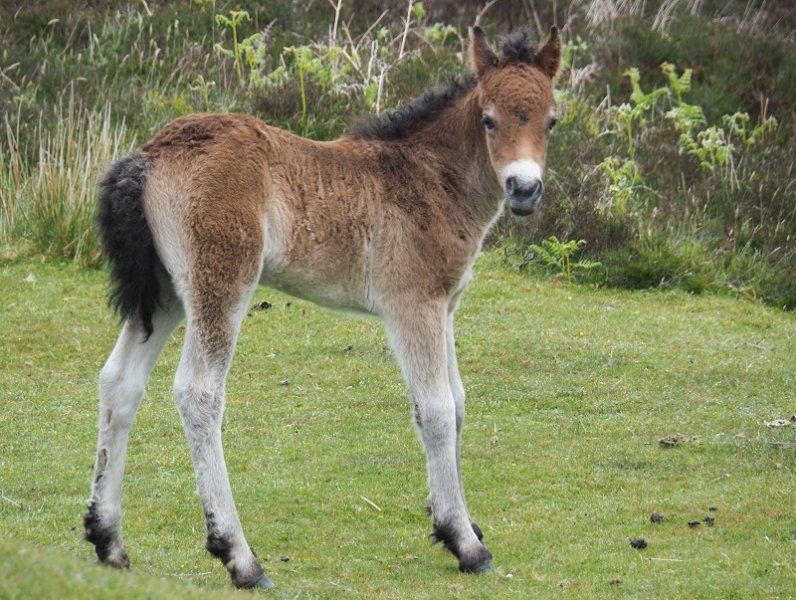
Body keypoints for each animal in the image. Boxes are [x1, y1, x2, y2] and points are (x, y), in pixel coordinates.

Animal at [84, 25, 561, 589]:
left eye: (552, 120)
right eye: (488, 119)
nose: (524, 189)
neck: (427, 178)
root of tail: (151, 153)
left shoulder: (445, 306)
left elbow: (459, 402)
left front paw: (456, 519)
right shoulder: (413, 304)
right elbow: (437, 409)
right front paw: (465, 543)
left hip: (163, 292)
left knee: (120, 383)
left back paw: (108, 541)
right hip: (219, 281)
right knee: (198, 393)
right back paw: (240, 557)